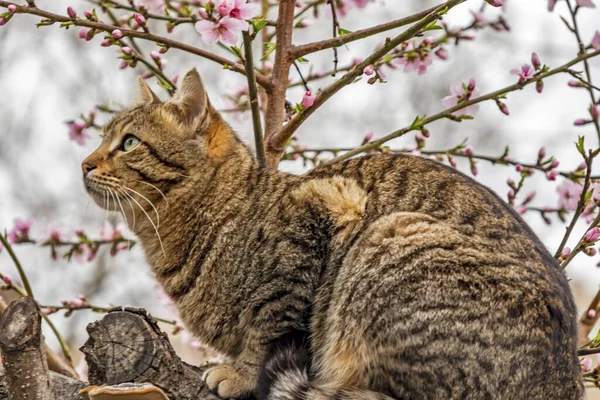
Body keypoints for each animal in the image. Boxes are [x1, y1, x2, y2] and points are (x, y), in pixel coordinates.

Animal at [81, 69, 580, 400]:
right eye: (103, 139)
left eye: (128, 143)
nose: (84, 163)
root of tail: (565, 380)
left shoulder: (324, 215)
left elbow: (267, 330)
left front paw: (240, 375)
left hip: (389, 236)